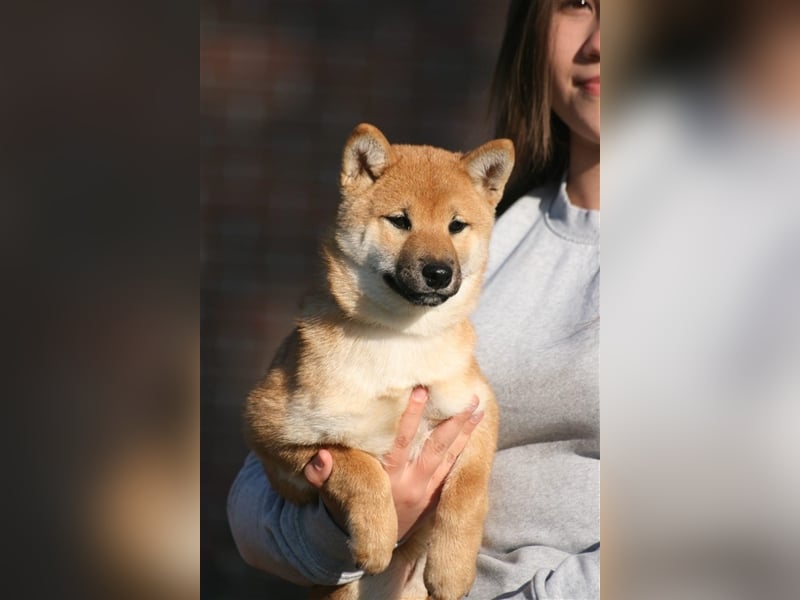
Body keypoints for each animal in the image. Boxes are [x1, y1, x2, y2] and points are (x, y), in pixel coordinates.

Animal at [244, 123, 516, 600]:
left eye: (456, 225)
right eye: (400, 221)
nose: (439, 272)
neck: (401, 340)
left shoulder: (477, 412)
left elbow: (467, 492)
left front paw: (452, 569)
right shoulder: (275, 431)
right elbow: (359, 467)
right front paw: (375, 539)